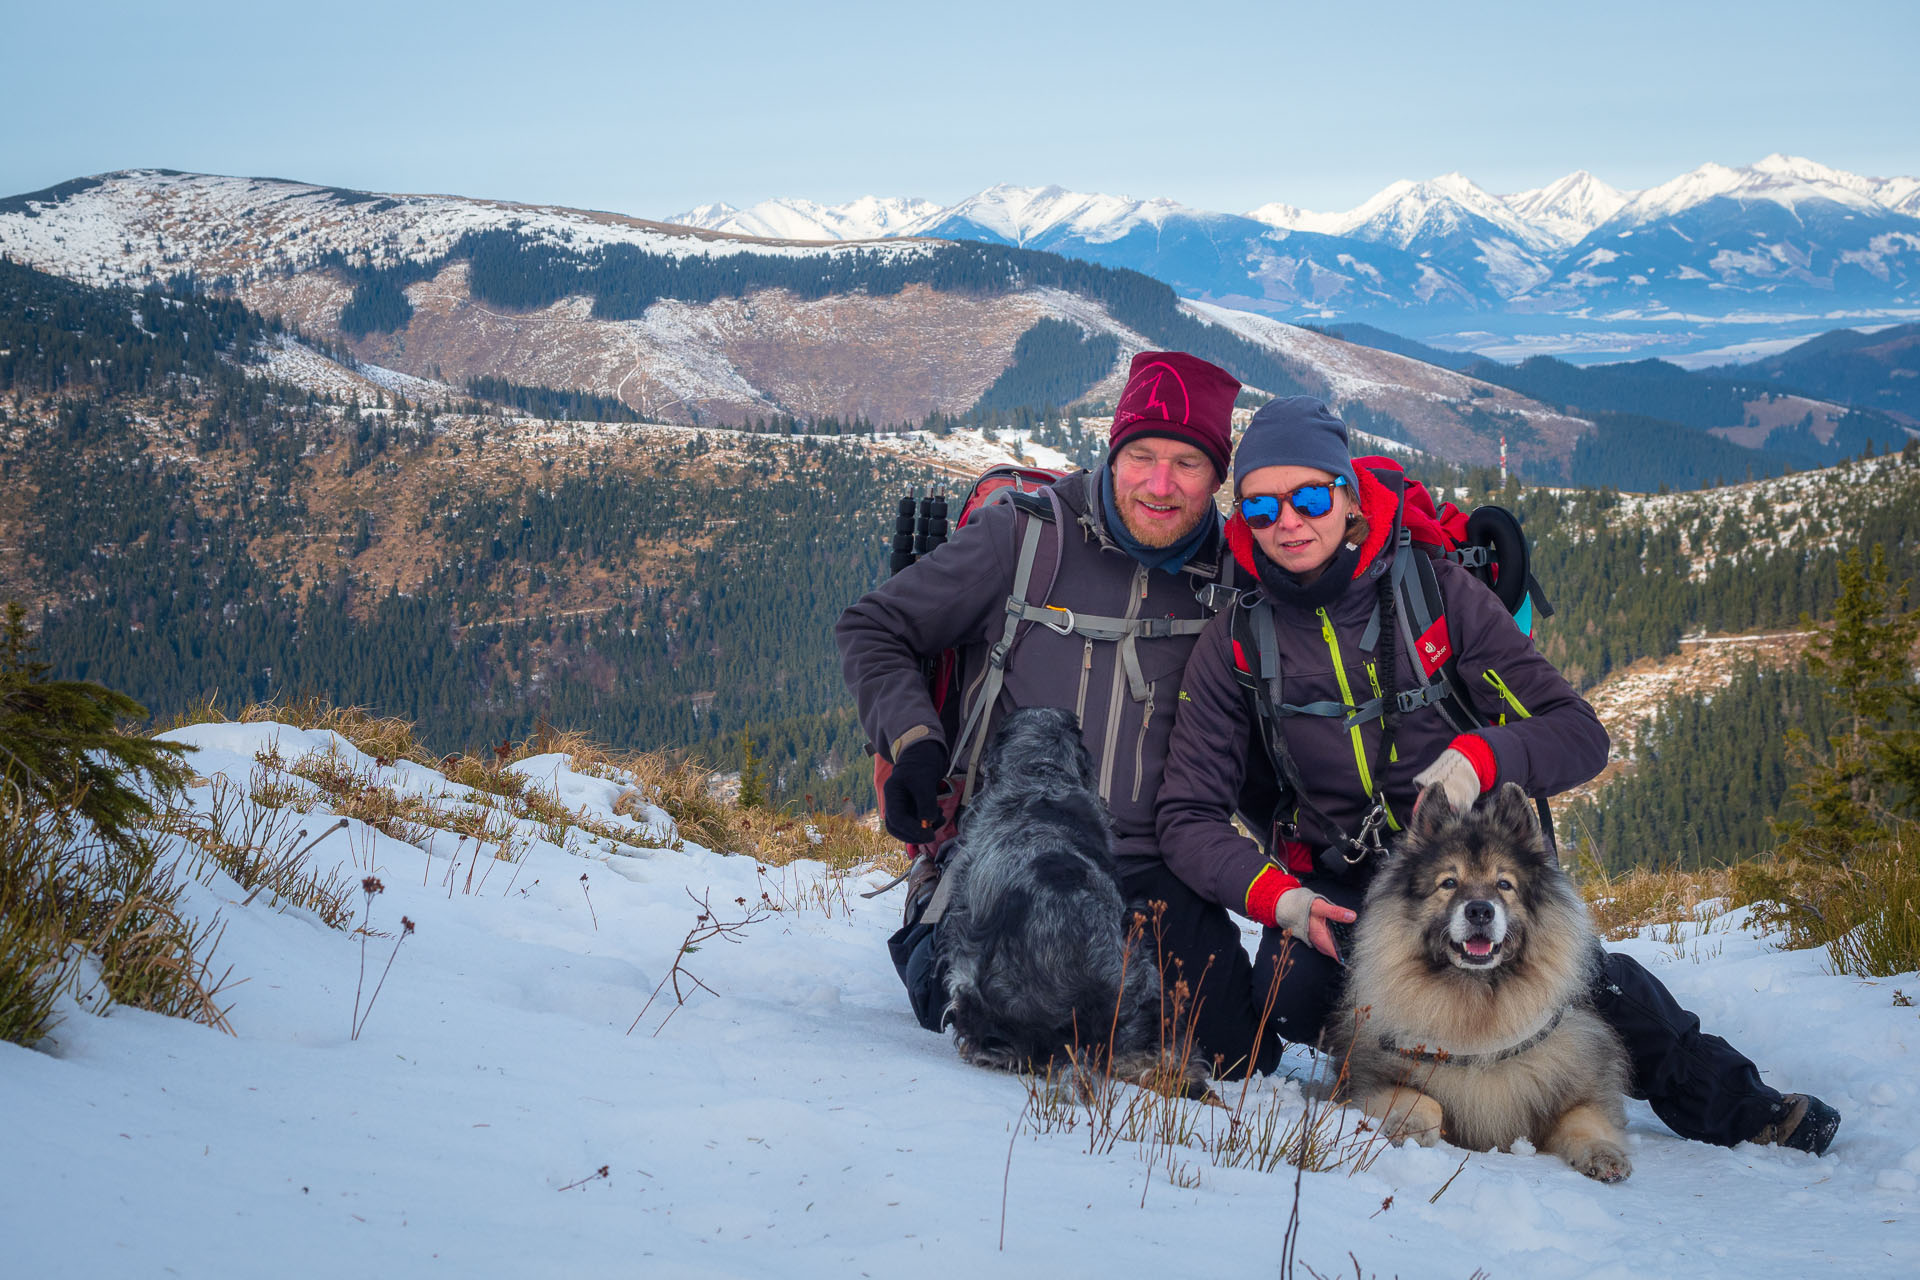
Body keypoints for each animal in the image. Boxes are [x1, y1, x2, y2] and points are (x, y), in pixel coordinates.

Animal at [1328, 786, 1628, 1189]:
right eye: (1448, 883)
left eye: (1504, 884)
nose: (1480, 911)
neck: (1480, 1012)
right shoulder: (1369, 1081)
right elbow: (1420, 1099)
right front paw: (1408, 1126)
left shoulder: (1579, 1089)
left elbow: (1586, 1120)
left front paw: (1604, 1154)